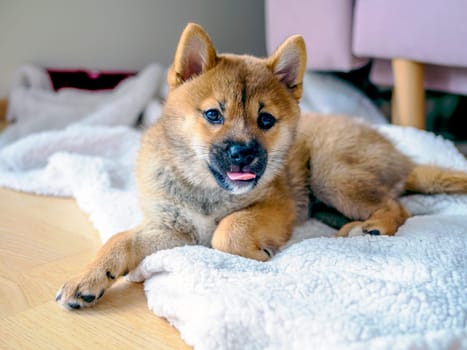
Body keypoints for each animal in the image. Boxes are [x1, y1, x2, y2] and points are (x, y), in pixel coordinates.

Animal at [56, 23, 467, 310]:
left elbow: (228, 231)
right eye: (213, 114)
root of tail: (403, 159)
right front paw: (88, 278)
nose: (242, 153)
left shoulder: (276, 207)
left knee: (396, 206)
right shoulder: (172, 228)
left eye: (266, 120)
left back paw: (372, 227)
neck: (205, 190)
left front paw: (257, 253)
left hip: (331, 173)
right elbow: (119, 239)